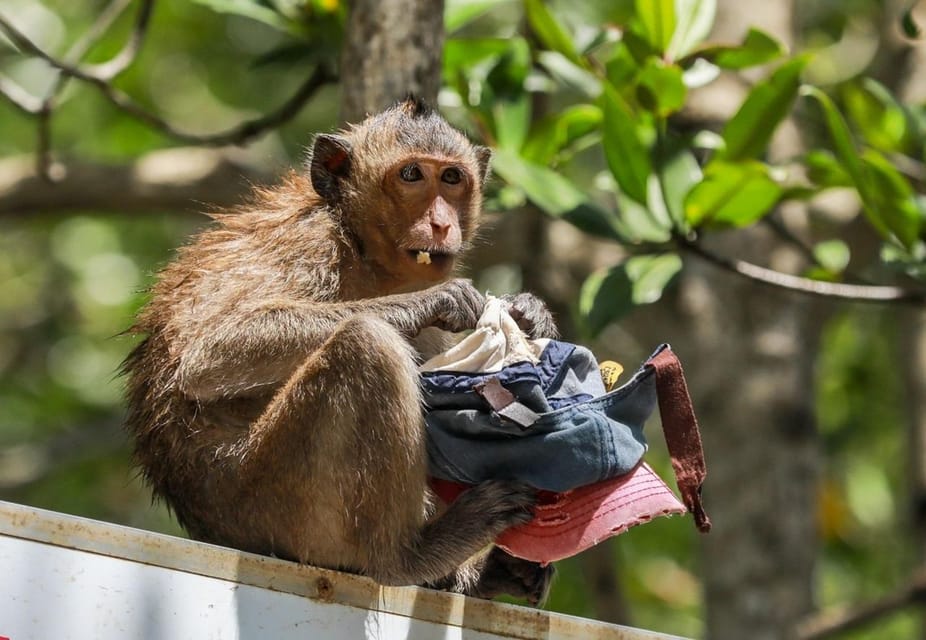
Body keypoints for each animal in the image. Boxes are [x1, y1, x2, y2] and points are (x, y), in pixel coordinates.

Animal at [123, 100, 560, 604]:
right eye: (411, 174)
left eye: (451, 178)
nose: (441, 223)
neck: (360, 248)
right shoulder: (309, 245)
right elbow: (209, 353)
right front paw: (440, 300)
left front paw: (530, 315)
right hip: (273, 497)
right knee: (366, 345)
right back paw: (408, 556)